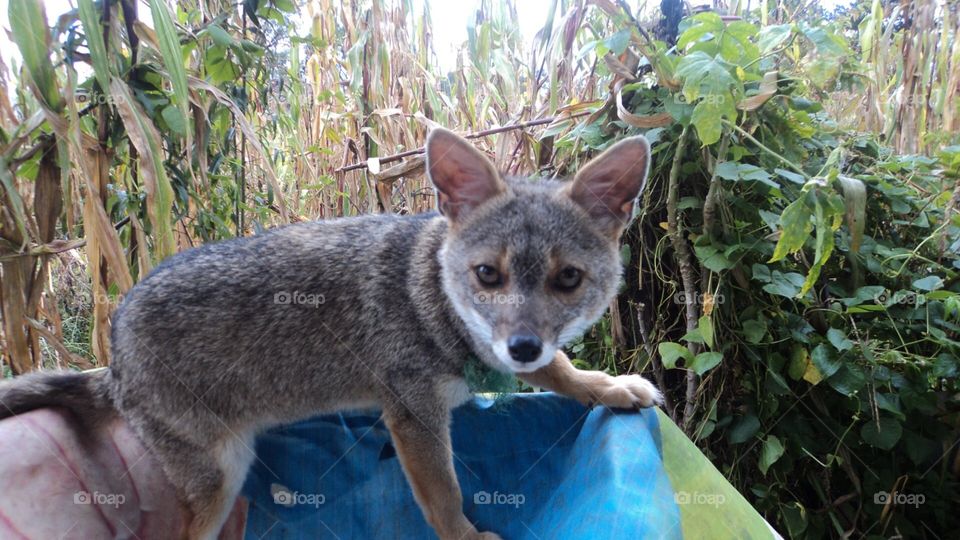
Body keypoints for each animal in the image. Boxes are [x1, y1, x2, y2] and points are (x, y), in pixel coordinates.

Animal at [0, 129, 660, 536]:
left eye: (568, 279)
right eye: (487, 275)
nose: (521, 346)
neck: (433, 299)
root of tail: (113, 361)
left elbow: (564, 369)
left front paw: (610, 388)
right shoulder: (412, 416)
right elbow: (444, 498)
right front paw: (469, 538)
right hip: (217, 481)